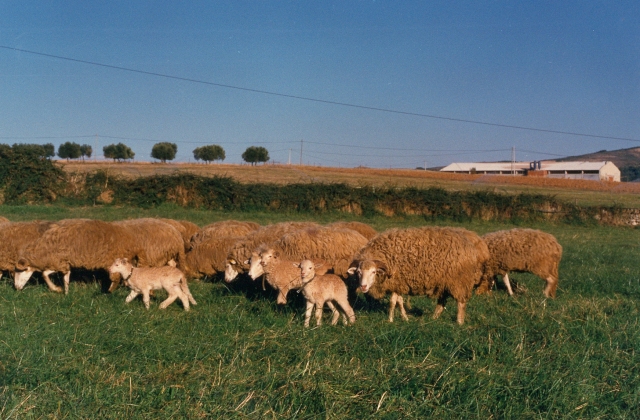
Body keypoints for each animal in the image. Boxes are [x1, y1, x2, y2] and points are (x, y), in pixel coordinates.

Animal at [348, 226, 488, 324]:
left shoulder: (396, 282)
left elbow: (393, 302)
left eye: (373, 272)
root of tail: (471, 247)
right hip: (444, 282)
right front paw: (404, 317)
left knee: (461, 303)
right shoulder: (398, 284)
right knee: (441, 302)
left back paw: (459, 322)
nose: (363, 287)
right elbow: (399, 301)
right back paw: (433, 318)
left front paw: (390, 319)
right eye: (359, 272)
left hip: (459, 281)